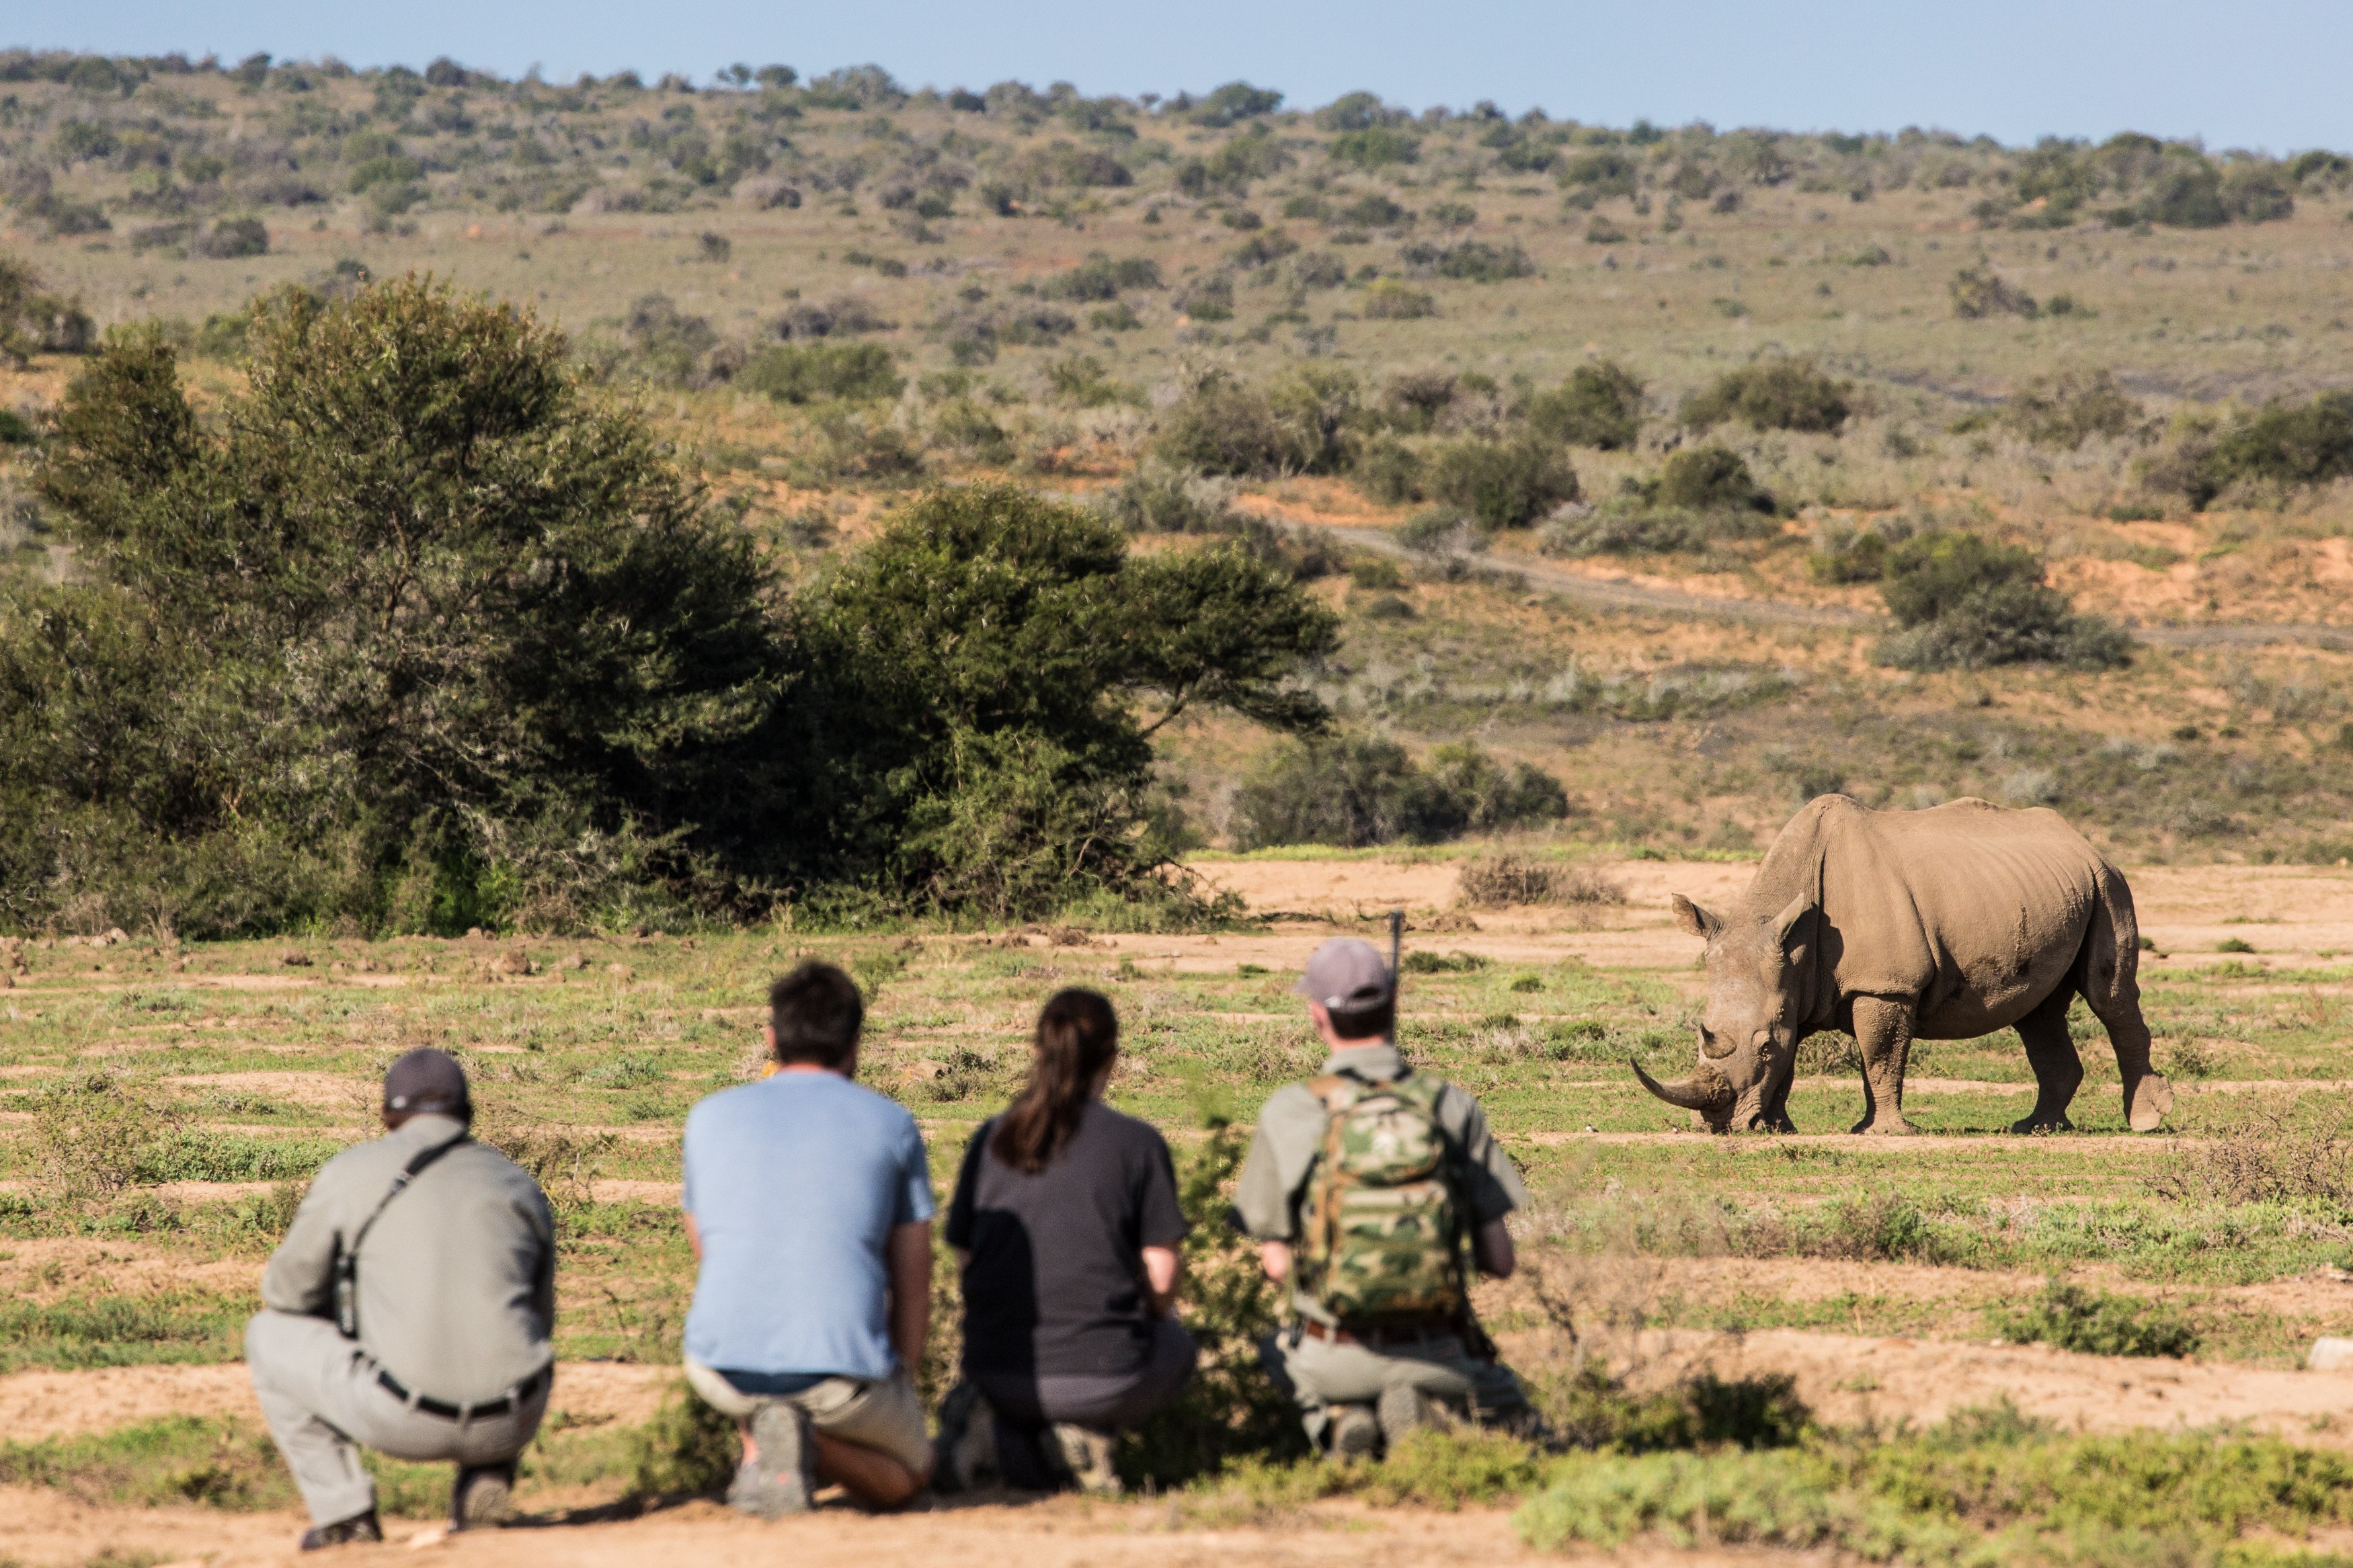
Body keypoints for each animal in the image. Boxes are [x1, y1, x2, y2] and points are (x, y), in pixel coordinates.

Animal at [1633, 794, 2173, 1136]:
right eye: (1700, 1037)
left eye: (1763, 1046)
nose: (1720, 1125)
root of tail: (2085, 842)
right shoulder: (1793, 984)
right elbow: (1799, 1059)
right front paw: (1778, 1128)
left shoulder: (1886, 984)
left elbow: (1880, 1055)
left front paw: (1883, 1132)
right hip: (2053, 892)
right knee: (2038, 1014)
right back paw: (2037, 1128)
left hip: (2108, 884)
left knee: (2109, 997)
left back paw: (2145, 1122)